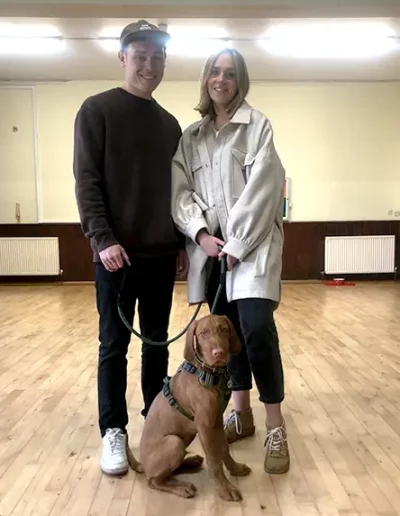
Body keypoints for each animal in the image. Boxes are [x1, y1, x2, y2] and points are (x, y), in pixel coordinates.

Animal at [131, 312, 250, 502]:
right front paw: (225, 489)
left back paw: (191, 462)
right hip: (174, 442)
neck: (208, 373)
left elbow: (224, 449)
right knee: (154, 481)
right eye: (203, 334)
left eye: (224, 330)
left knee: (170, 471)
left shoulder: (216, 420)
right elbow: (214, 460)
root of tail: (142, 464)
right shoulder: (205, 427)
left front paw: (235, 468)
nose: (219, 353)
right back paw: (181, 487)